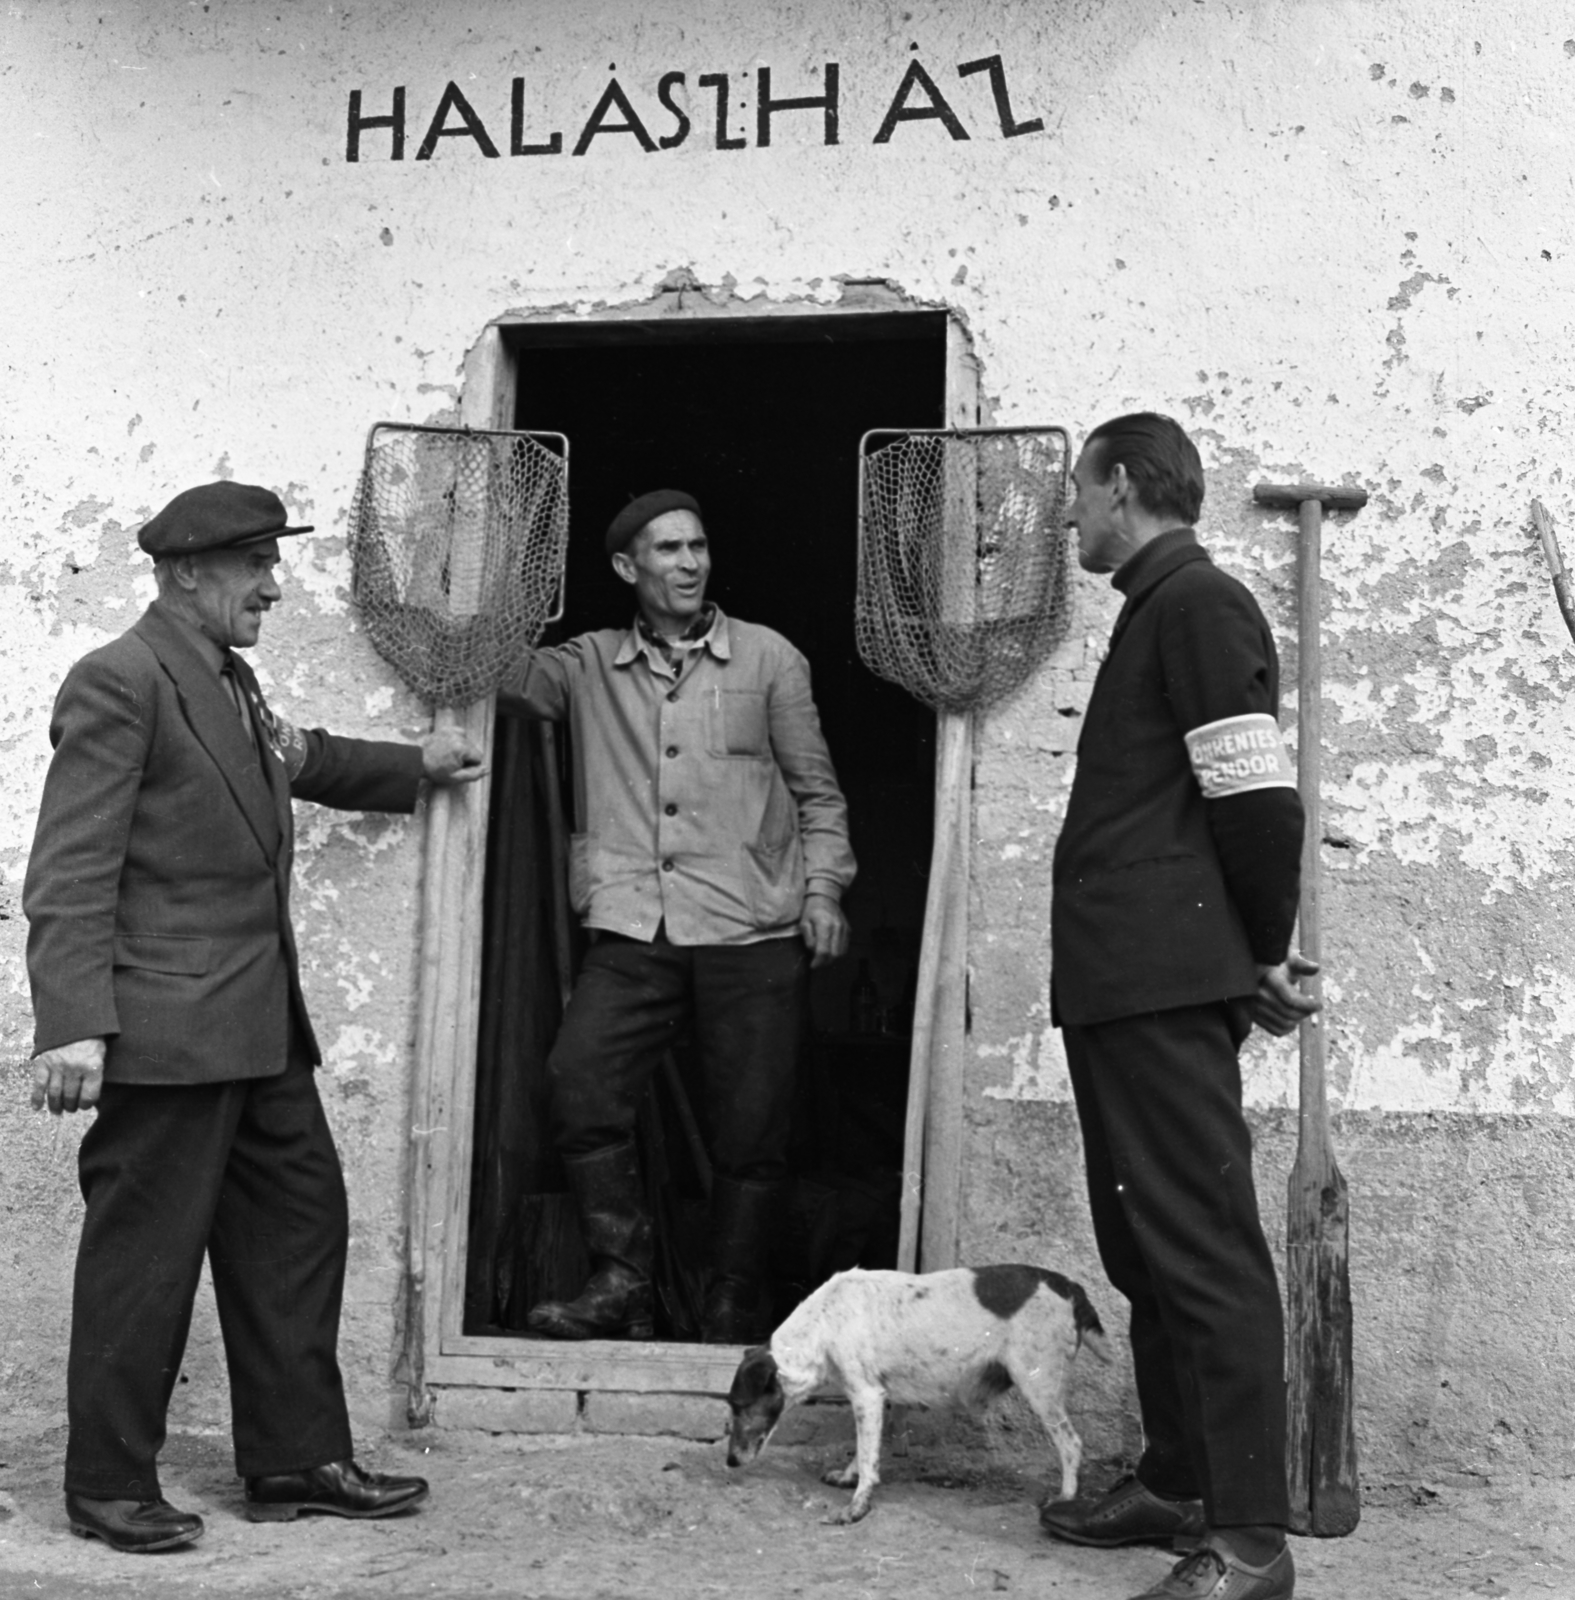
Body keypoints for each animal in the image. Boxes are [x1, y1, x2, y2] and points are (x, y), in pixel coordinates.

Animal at [726, 1260, 1107, 1523]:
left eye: (739, 1406)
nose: (729, 1462)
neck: (824, 1324)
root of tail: (1069, 1285)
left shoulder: (866, 1396)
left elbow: (868, 1459)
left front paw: (857, 1507)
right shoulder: (872, 1401)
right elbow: (863, 1451)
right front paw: (848, 1478)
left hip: (1040, 1385)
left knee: (1071, 1444)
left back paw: (1065, 1498)